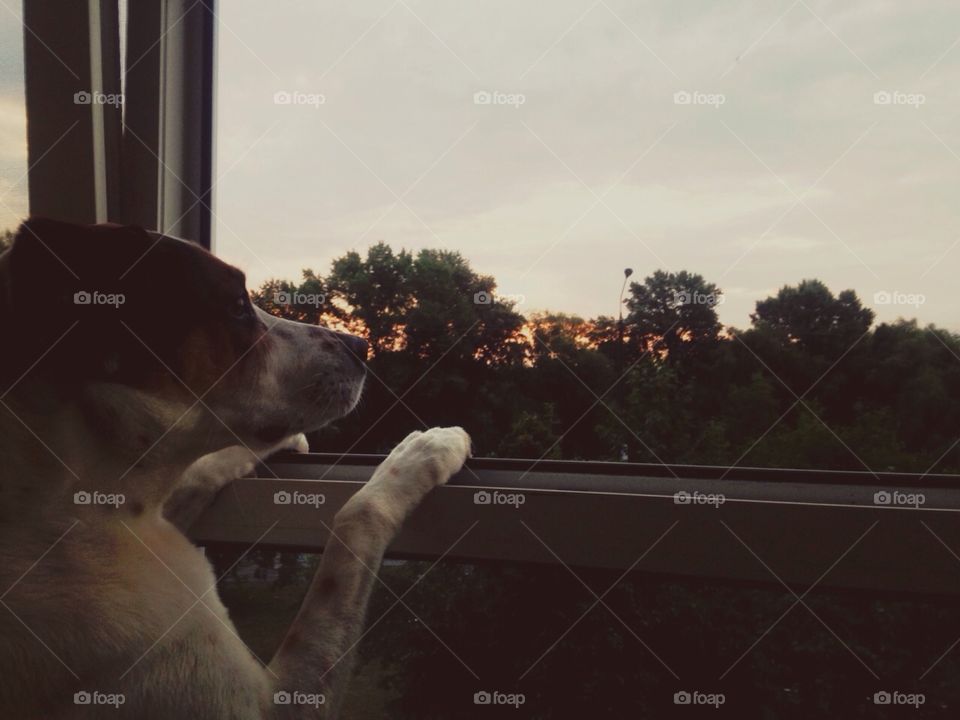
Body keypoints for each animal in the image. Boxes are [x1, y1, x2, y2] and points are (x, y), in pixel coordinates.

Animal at [0, 221, 468, 720]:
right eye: (239, 307)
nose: (361, 345)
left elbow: (203, 470)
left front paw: (278, 443)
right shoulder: (274, 703)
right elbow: (355, 521)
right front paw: (426, 451)